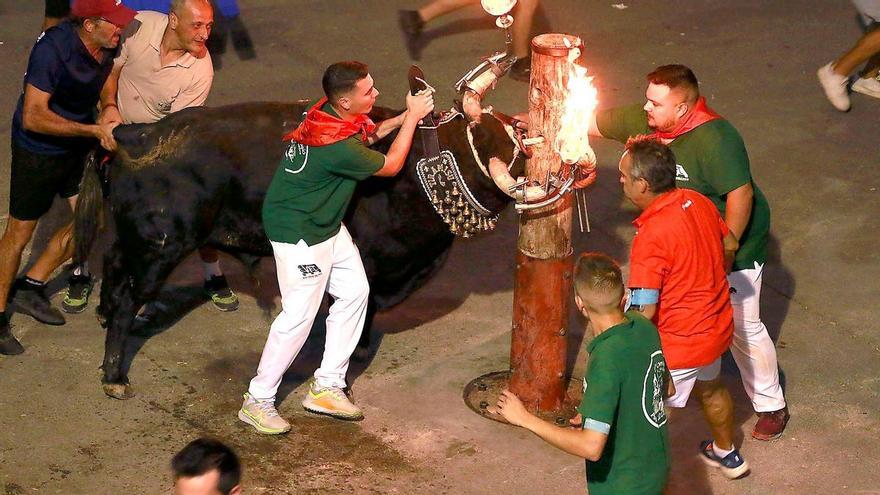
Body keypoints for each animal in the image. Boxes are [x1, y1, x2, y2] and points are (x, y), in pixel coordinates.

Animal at [74, 101, 524, 400]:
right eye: (506, 139)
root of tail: (136, 133)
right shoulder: (371, 263)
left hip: (136, 241)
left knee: (113, 265)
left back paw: (102, 314)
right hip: (159, 247)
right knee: (130, 294)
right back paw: (115, 376)